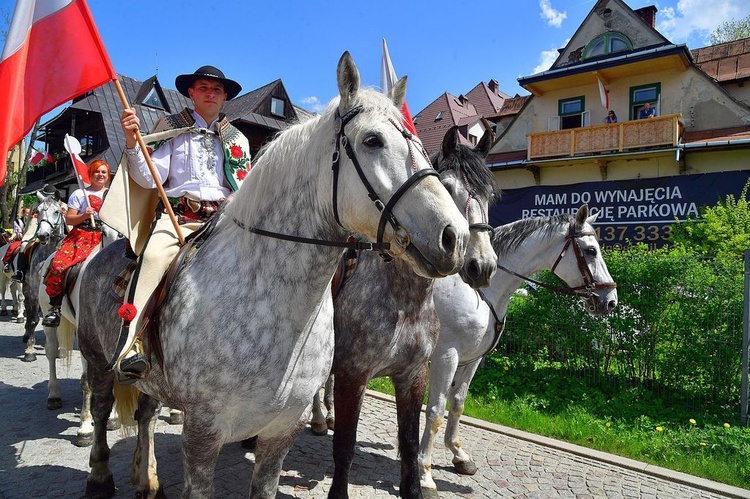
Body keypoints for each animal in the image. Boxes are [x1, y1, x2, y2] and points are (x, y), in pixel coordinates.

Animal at [78, 51, 470, 499]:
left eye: (420, 145)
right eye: (373, 140)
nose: (453, 237)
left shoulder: (282, 431)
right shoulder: (202, 432)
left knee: (145, 415)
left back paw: (148, 480)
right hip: (96, 358)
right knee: (102, 408)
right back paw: (99, 476)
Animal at [420, 205, 620, 494]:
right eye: (591, 251)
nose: (610, 301)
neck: (478, 291)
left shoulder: (471, 360)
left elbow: (457, 404)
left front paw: (459, 456)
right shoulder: (446, 356)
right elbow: (435, 411)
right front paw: (424, 474)